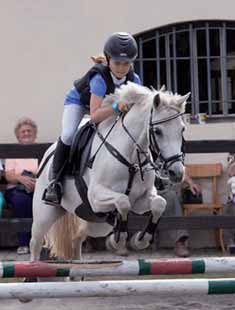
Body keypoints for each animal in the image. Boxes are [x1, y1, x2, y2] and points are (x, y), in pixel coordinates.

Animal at [30, 82, 189, 262]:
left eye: (182, 129)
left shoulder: (140, 200)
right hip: (45, 215)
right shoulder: (95, 197)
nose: (176, 172)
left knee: (76, 239)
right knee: (35, 243)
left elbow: (159, 203)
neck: (130, 158)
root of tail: (47, 154)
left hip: (94, 223)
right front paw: (118, 240)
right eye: (158, 131)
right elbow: (123, 201)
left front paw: (140, 240)